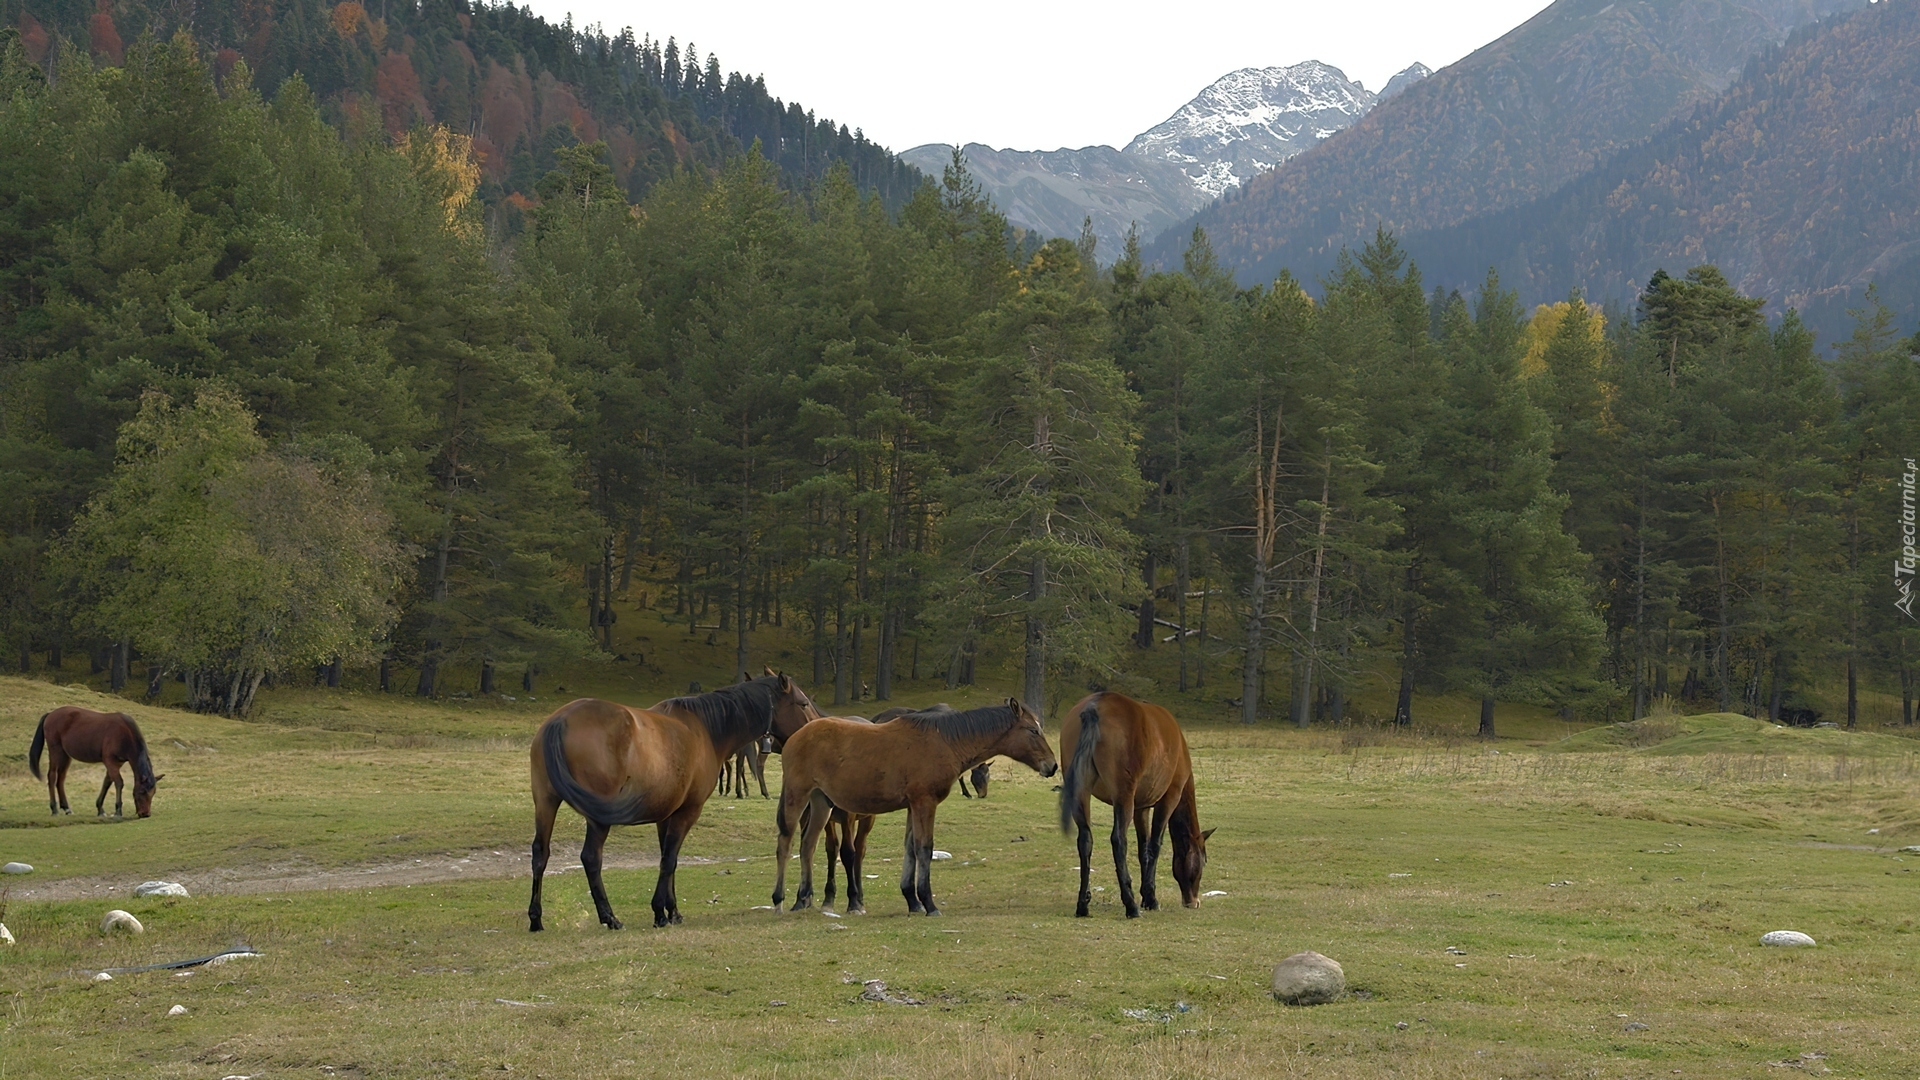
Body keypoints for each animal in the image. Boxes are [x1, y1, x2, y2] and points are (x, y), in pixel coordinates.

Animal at [28, 707, 165, 814]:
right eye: (142, 791)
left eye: (153, 793)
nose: (145, 814)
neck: (125, 734)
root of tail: (50, 714)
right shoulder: (110, 761)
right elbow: (119, 782)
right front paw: (118, 810)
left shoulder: (116, 763)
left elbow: (107, 782)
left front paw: (100, 809)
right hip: (55, 751)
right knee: (52, 776)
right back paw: (54, 809)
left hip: (65, 755)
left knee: (60, 779)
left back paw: (66, 808)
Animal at [529, 668, 821, 930]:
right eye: (803, 703)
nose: (815, 727)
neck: (707, 730)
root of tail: (559, 721)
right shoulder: (687, 812)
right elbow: (669, 859)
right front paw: (660, 912)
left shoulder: (666, 816)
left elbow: (667, 860)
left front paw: (672, 911)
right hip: (597, 818)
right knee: (591, 858)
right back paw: (609, 917)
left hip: (545, 803)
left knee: (540, 854)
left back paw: (536, 918)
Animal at [771, 691, 1059, 910]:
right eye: (1033, 730)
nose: (1052, 765)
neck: (944, 742)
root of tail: (795, 737)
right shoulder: (924, 803)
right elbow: (924, 848)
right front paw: (928, 902)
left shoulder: (912, 805)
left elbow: (909, 848)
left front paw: (912, 899)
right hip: (798, 795)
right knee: (786, 843)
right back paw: (779, 899)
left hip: (821, 803)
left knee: (807, 845)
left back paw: (803, 898)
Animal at [1052, 687, 1213, 914]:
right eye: (1204, 860)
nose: (1193, 901)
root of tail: (1095, 706)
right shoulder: (1169, 799)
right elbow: (1154, 845)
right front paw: (1150, 898)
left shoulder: (1141, 808)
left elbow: (1142, 848)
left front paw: (1146, 894)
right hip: (1124, 797)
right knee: (1118, 840)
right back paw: (1130, 905)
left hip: (1081, 793)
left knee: (1085, 840)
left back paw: (1083, 904)